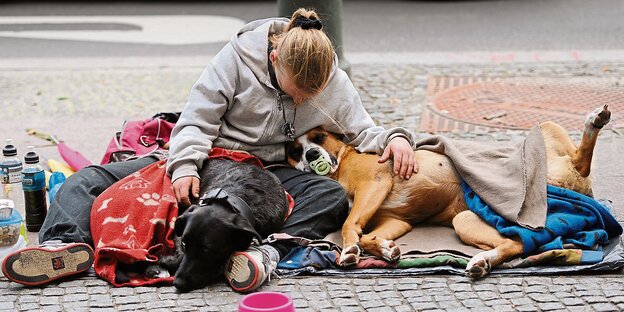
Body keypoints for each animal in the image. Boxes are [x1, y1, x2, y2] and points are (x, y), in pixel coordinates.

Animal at [147, 158, 290, 292]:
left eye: (207, 249)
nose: (178, 283)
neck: (234, 200)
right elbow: (180, 254)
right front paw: (161, 263)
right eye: (184, 244)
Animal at [290, 105, 612, 278]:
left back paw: (594, 122)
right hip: (466, 220)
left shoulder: (375, 184)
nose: (311, 154)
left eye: (319, 137)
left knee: (581, 160)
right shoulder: (396, 220)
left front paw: (348, 249)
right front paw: (384, 248)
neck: (342, 162)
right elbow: (367, 235)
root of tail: (580, 187)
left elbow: (349, 225)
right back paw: (483, 261)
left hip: (546, 134)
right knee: (515, 244)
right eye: (294, 151)